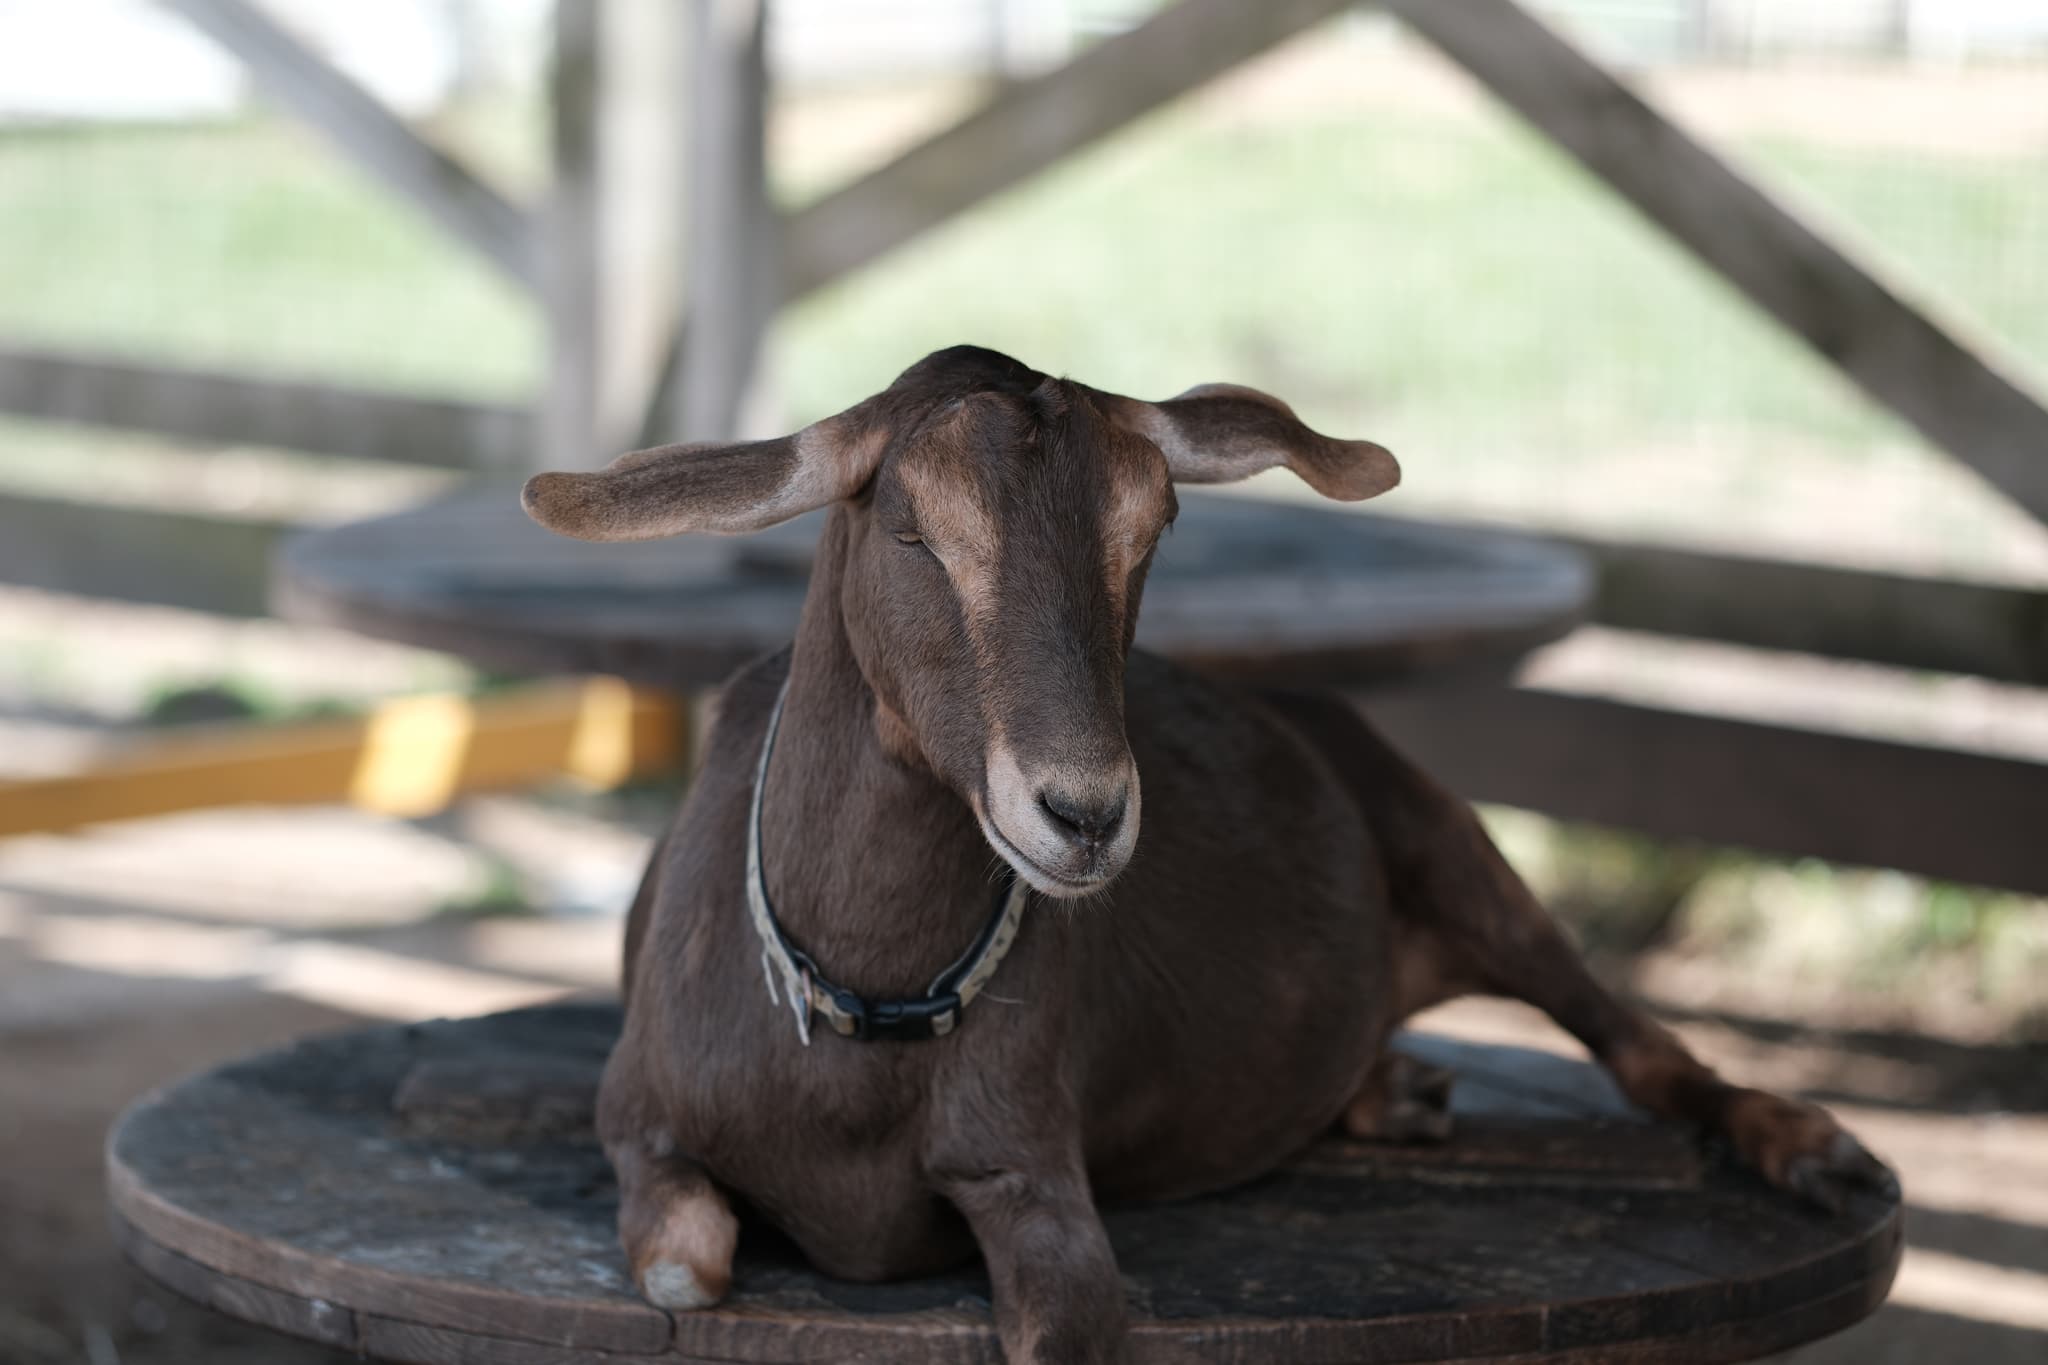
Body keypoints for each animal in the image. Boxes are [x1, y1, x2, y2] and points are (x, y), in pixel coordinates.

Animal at [528, 349, 1884, 1365]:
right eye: (914, 533)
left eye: (1151, 530)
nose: (1081, 814)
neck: (861, 1015)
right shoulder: (635, 1120)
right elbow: (685, 1265)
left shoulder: (1035, 1177)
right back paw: (1395, 1090)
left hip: (1456, 848)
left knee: (1634, 1043)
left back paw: (1813, 1150)